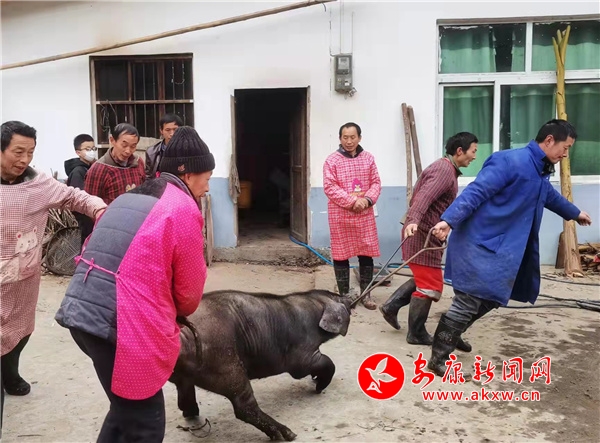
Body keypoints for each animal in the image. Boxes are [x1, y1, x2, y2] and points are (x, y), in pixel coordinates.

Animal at [169, 289, 352, 441]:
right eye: (340, 298)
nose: (350, 297)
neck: (315, 305)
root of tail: (182, 333)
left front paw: (315, 380)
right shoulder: (303, 356)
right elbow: (328, 363)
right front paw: (319, 388)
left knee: (185, 392)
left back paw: (191, 413)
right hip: (226, 365)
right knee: (244, 407)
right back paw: (287, 434)